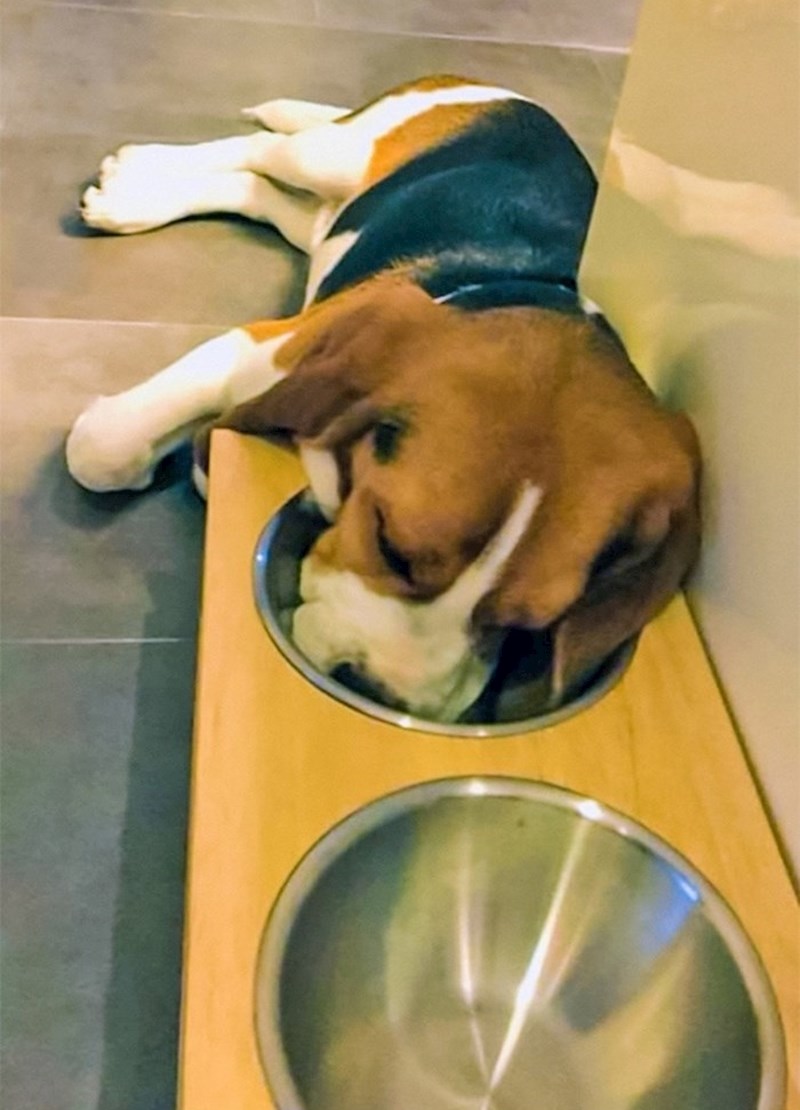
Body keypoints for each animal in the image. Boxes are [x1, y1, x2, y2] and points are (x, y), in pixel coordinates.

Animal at [66, 75, 701, 722]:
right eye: (391, 547)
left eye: (525, 625)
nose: (377, 692)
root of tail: (511, 95)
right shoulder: (260, 350)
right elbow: (99, 451)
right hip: (332, 154)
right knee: (262, 149)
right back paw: (135, 184)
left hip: (334, 219)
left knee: (265, 197)